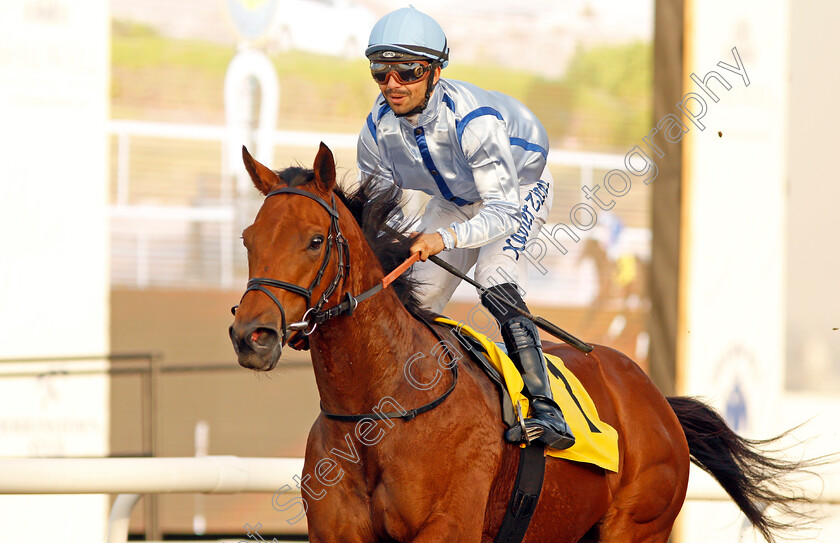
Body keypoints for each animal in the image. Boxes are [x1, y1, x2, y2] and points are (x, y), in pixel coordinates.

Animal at [233, 142, 812, 540]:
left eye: (314, 241)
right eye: (248, 238)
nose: (251, 336)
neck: (377, 412)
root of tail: (655, 398)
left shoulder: (447, 527)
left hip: (637, 525)